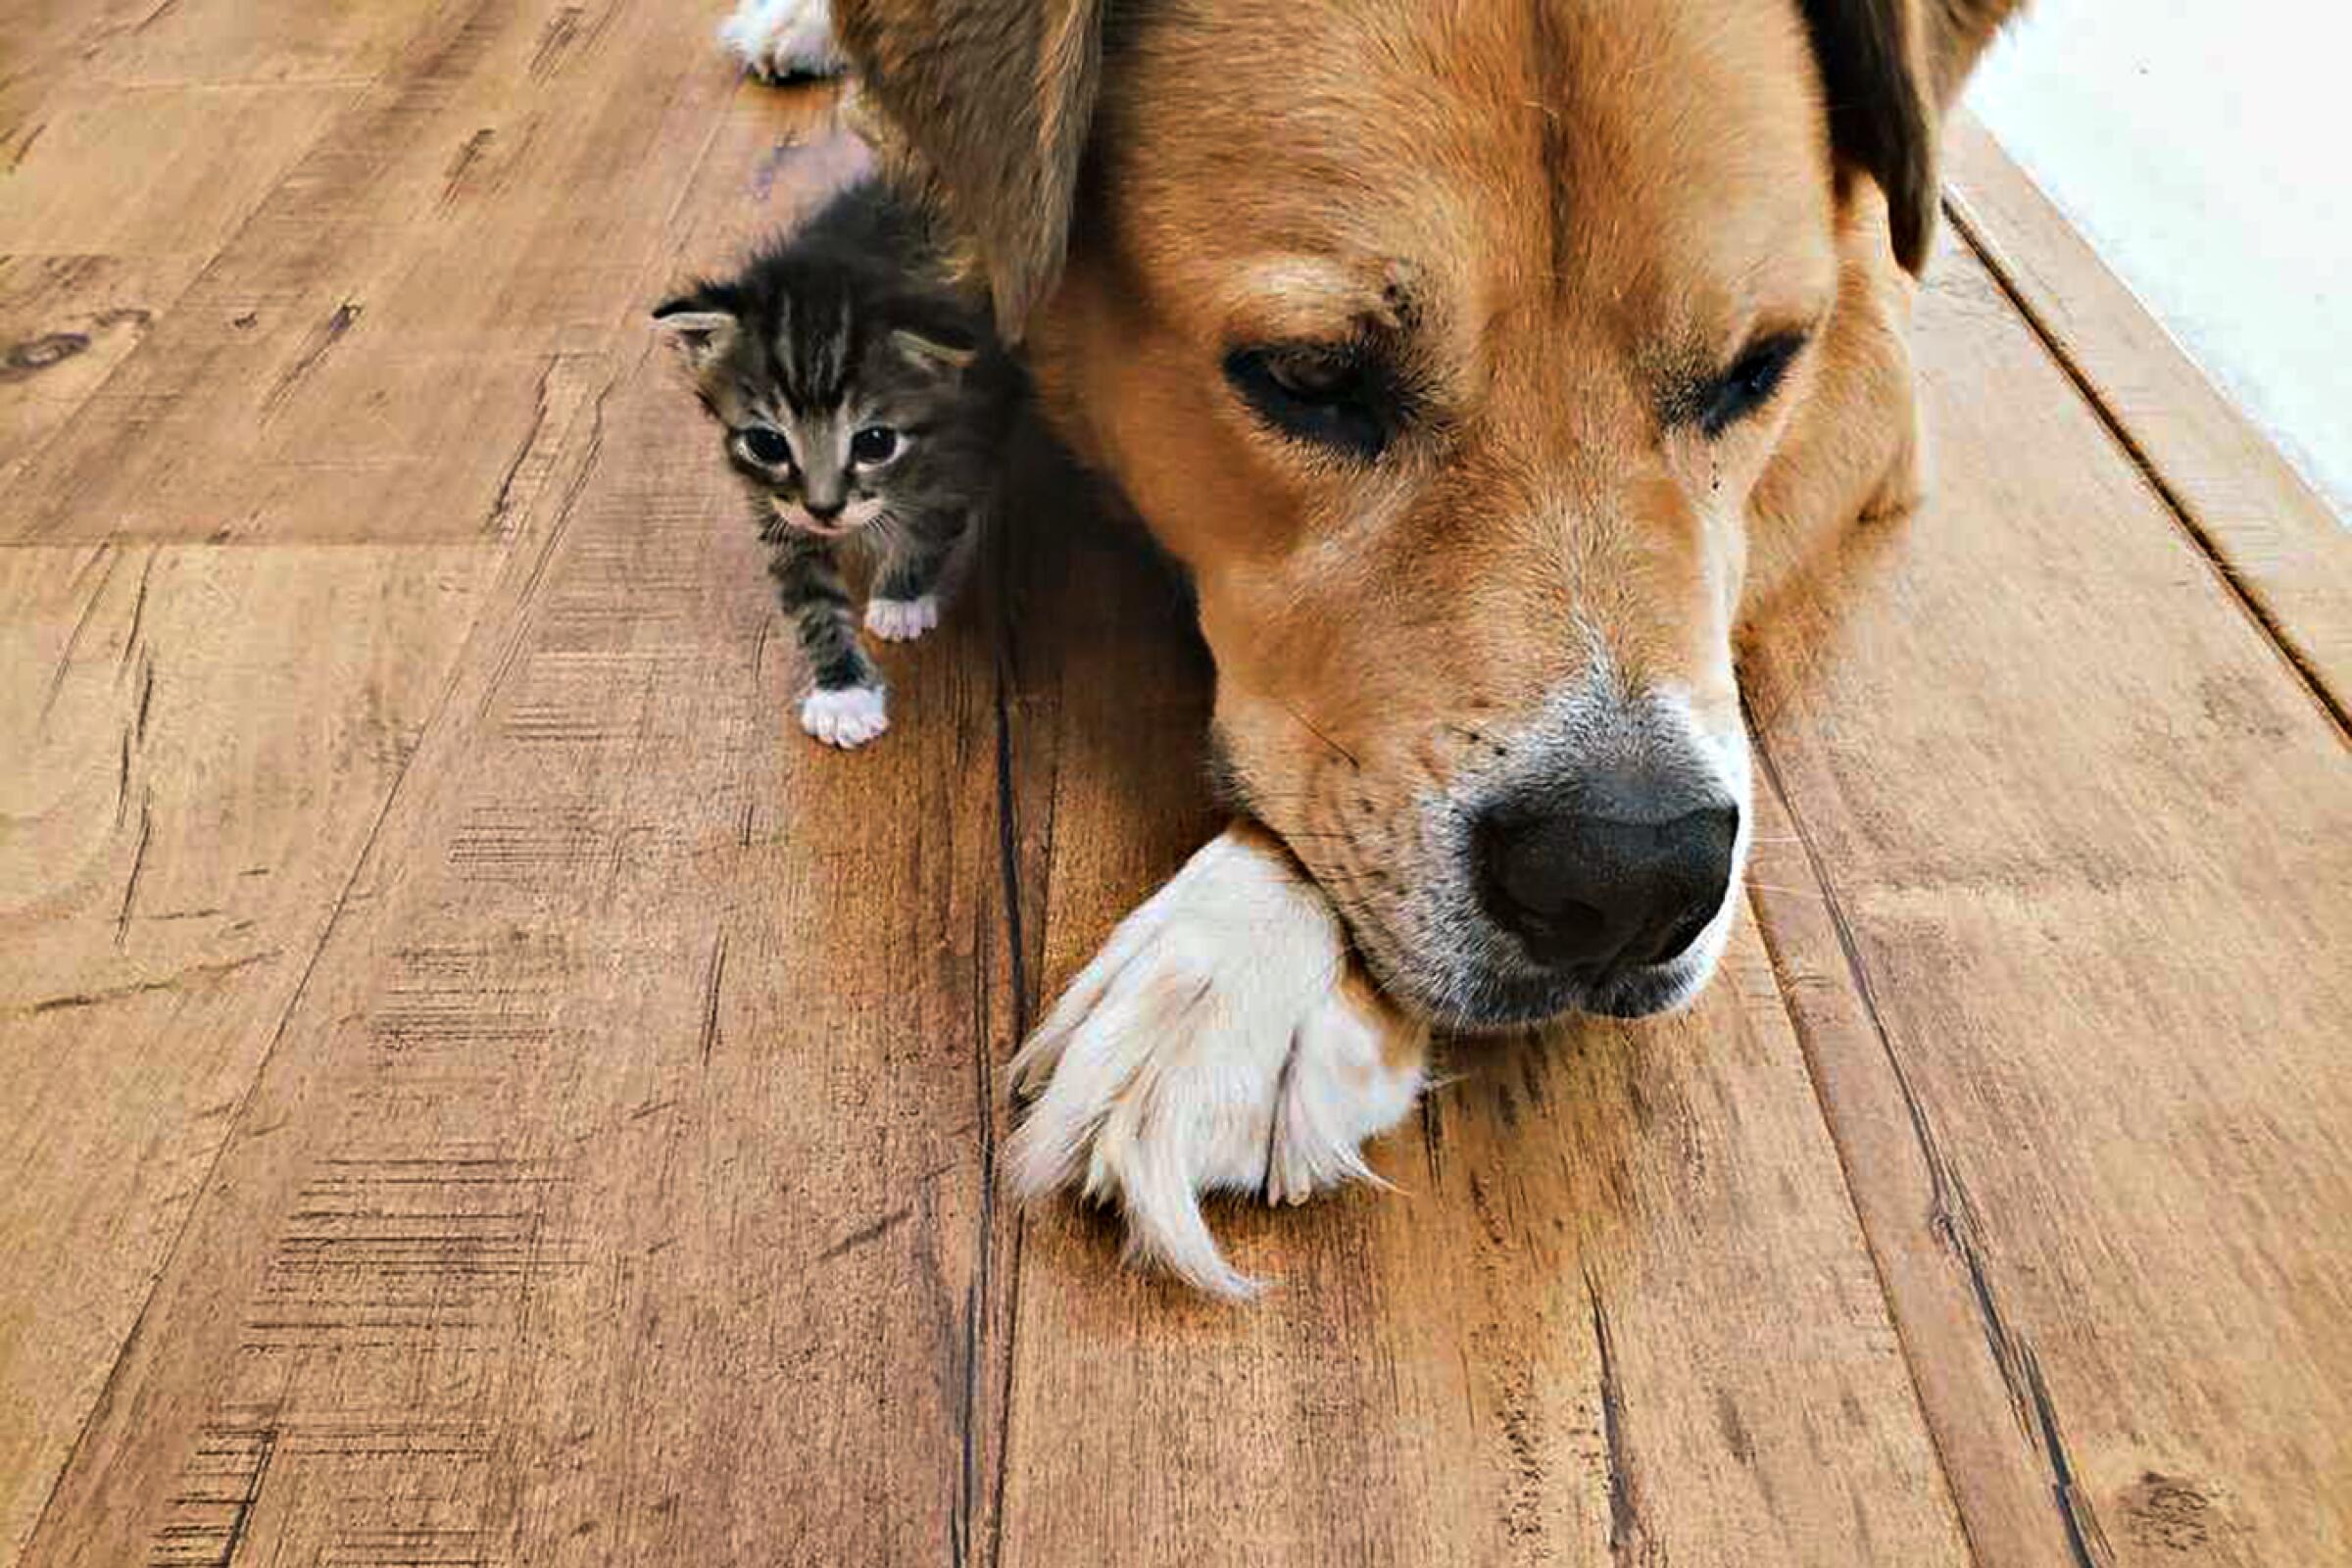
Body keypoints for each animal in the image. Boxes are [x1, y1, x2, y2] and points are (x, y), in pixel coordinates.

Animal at [649, 180, 1015, 747]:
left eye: (875, 443)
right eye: (767, 445)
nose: (824, 510)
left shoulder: (965, 446)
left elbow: (929, 527)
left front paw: (900, 598)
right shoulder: (777, 509)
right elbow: (812, 599)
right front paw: (843, 692)